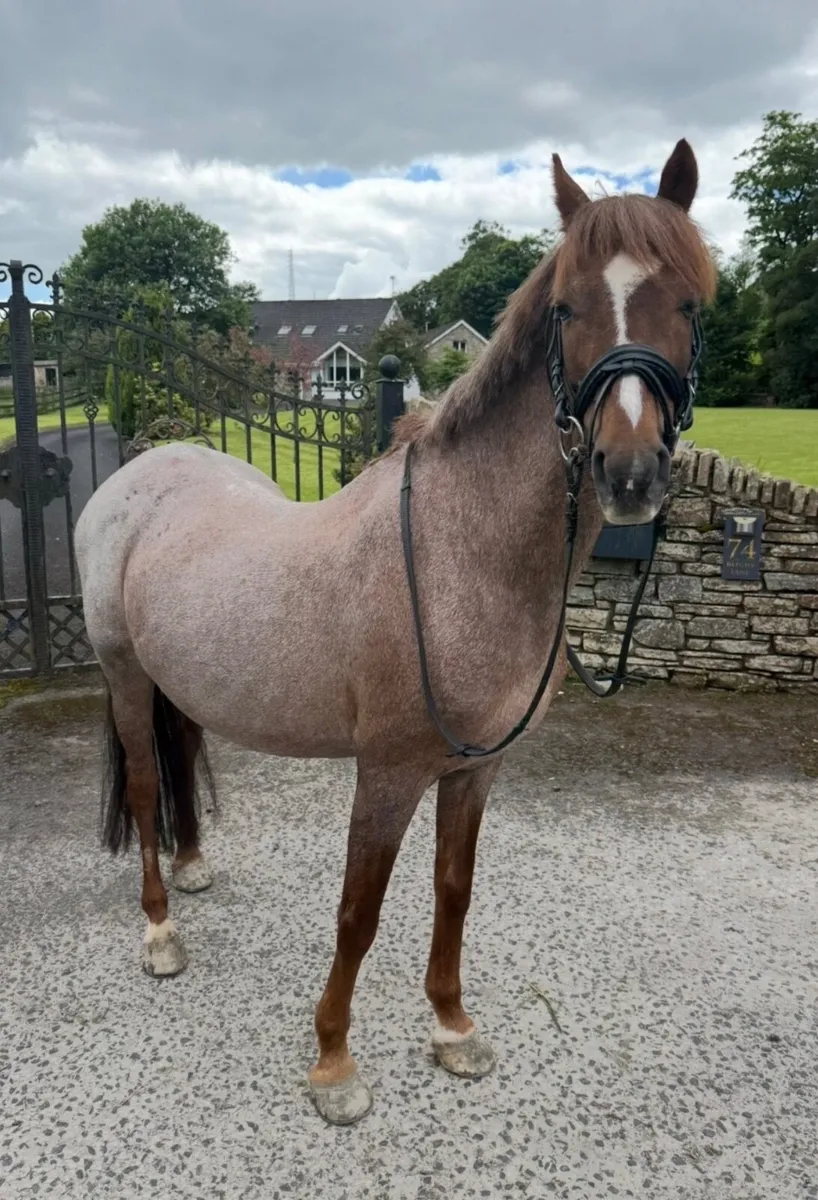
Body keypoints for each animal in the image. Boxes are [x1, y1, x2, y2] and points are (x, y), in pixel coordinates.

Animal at [75, 139, 716, 1126]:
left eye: (687, 302)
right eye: (566, 308)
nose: (630, 473)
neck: (462, 553)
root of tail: (140, 475)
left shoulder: (474, 769)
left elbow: (454, 890)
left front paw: (452, 1029)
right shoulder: (386, 771)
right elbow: (359, 910)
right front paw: (334, 1064)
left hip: (177, 677)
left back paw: (192, 868)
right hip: (125, 676)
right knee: (146, 788)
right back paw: (160, 931)